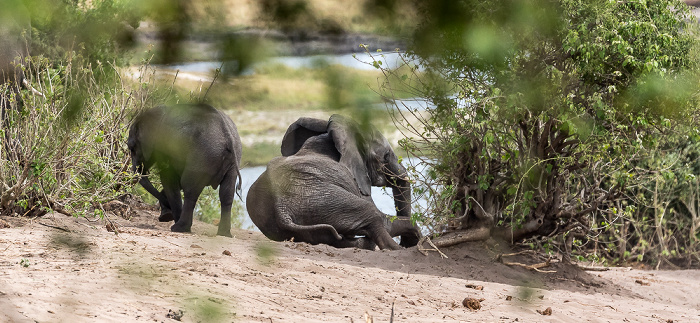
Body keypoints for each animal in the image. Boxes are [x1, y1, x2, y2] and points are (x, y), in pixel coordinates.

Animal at [128, 104, 243, 238]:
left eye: (132, 148)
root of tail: (227, 135)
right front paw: (166, 214)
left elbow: (169, 178)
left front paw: (168, 215)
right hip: (232, 161)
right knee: (226, 195)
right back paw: (224, 234)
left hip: (202, 157)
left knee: (190, 189)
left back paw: (179, 228)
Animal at [246, 114, 422, 251]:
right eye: (385, 156)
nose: (406, 243)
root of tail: (281, 209)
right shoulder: (355, 180)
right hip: (325, 200)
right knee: (376, 218)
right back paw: (395, 248)